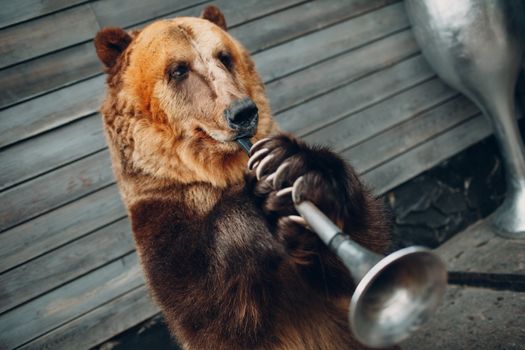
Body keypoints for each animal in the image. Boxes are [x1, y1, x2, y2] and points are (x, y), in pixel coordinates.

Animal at [94, 5, 390, 350]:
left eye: (224, 56)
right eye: (178, 69)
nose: (242, 112)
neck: (220, 173)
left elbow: (355, 257)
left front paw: (304, 172)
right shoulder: (161, 212)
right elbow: (208, 304)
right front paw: (263, 203)